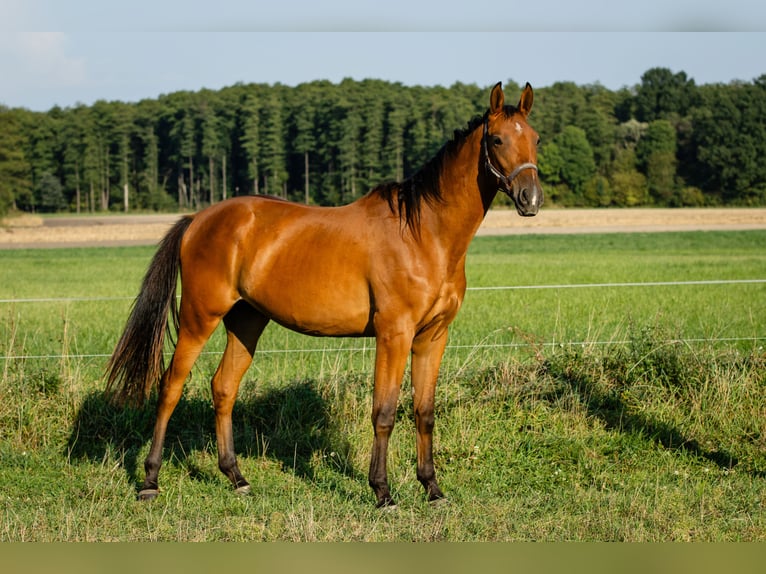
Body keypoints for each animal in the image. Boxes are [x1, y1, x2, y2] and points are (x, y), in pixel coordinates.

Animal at [105, 81, 544, 508]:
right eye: (498, 140)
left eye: (535, 138)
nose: (531, 199)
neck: (424, 234)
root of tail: (198, 219)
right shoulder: (394, 334)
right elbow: (384, 413)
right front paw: (382, 493)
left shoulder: (434, 337)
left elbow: (424, 412)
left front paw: (432, 489)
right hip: (199, 317)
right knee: (170, 387)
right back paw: (150, 481)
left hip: (247, 320)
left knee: (224, 387)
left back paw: (237, 479)